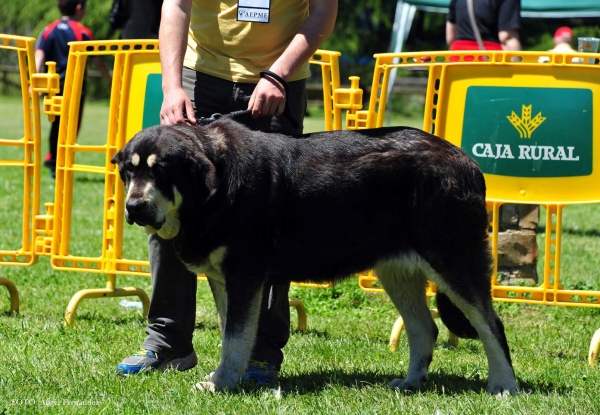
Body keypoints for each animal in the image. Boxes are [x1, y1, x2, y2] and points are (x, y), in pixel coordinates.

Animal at [112, 119, 520, 396]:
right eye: (129, 172)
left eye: (161, 172)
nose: (134, 206)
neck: (212, 190)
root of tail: (467, 161)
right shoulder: (224, 279)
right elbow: (235, 334)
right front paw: (228, 378)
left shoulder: (245, 274)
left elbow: (234, 338)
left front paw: (221, 384)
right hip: (396, 271)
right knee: (425, 329)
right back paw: (411, 382)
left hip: (453, 258)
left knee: (490, 323)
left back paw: (504, 385)